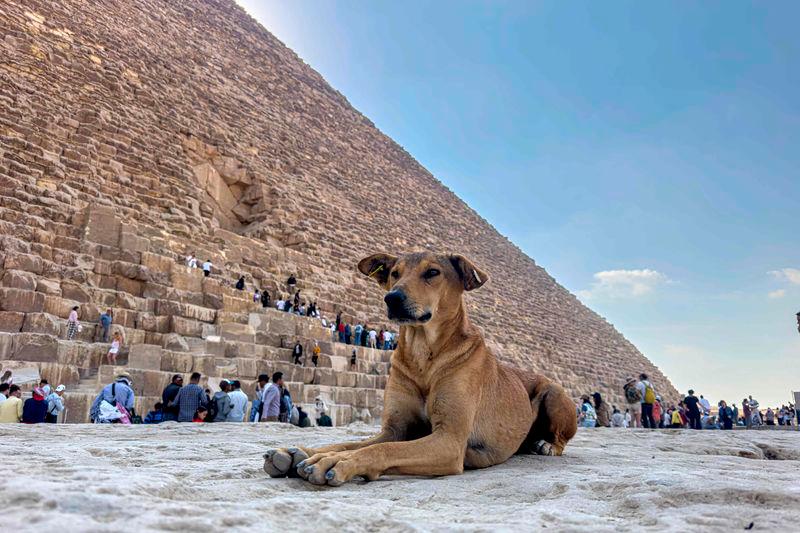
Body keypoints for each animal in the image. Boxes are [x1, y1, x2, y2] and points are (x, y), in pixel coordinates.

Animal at [262, 251, 576, 484]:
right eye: (394, 273)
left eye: (432, 272)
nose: (392, 298)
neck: (423, 354)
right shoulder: (394, 429)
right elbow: (356, 443)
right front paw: (304, 453)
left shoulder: (449, 441)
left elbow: (381, 450)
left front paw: (336, 462)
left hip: (555, 392)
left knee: (560, 436)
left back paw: (546, 445)